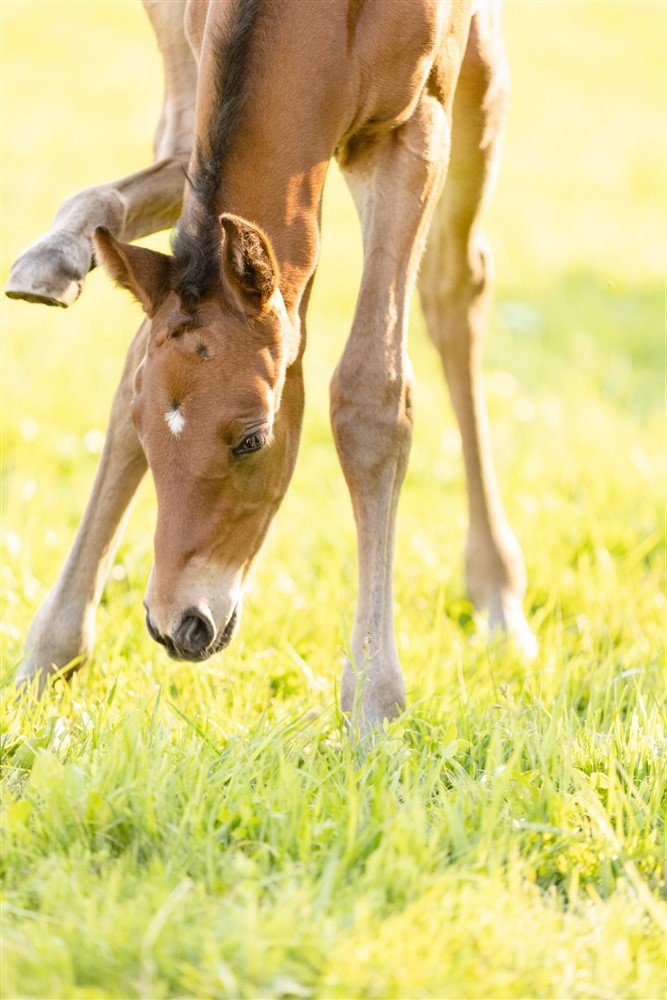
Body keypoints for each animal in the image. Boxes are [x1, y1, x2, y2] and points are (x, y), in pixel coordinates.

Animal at [7, 0, 536, 736]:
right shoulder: (197, 84)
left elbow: (371, 396)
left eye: (252, 439)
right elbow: (133, 351)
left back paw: (498, 597)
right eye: (149, 433)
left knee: (454, 293)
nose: (178, 625)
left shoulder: (413, 131)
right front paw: (48, 657)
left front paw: (372, 702)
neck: (318, 24)